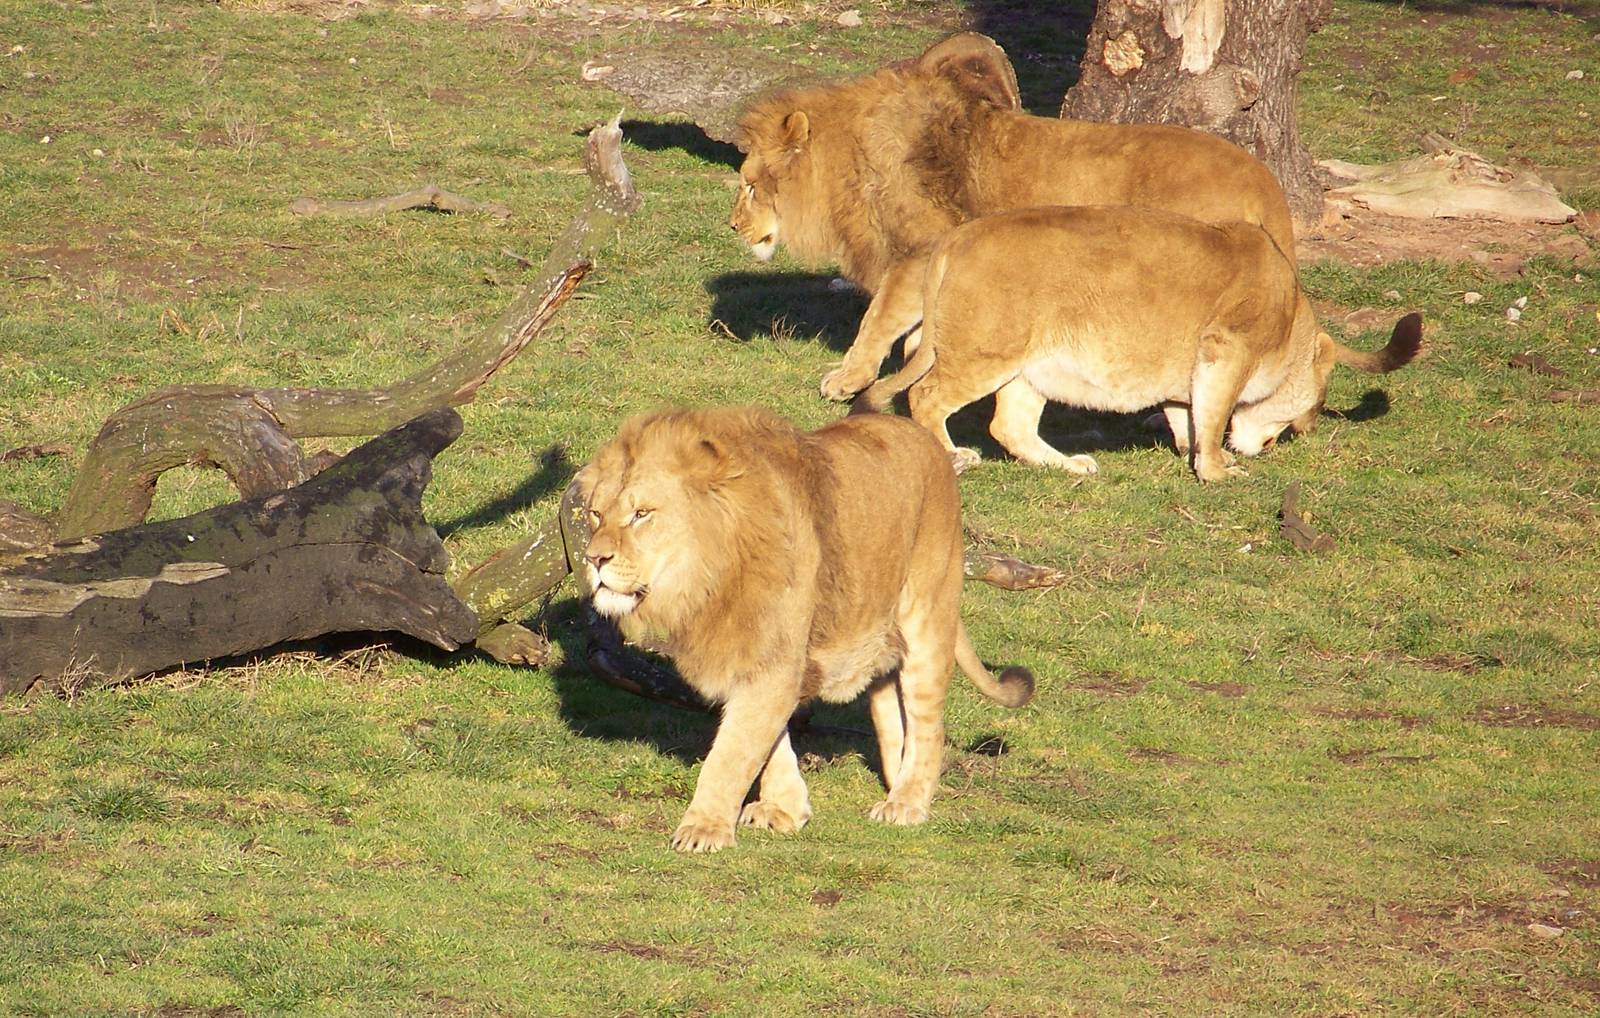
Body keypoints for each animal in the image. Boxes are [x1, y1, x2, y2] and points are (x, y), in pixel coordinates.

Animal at [576, 405, 1034, 853]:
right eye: (596, 514)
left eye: (641, 514)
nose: (594, 559)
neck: (709, 582)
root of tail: (923, 437)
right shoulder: (748, 654)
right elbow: (768, 741)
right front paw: (784, 809)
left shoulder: (775, 655)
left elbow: (733, 751)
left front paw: (704, 828)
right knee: (888, 703)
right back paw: (893, 779)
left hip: (928, 613)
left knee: (929, 723)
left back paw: (907, 802)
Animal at [729, 31, 1298, 401]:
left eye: (751, 186)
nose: (734, 226)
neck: (849, 164)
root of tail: (1264, 181)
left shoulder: (923, 249)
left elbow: (879, 319)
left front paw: (848, 379)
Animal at [852, 205, 1424, 482]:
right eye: (1315, 406)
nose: (1287, 440)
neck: (1291, 321)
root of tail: (957, 237)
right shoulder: (1226, 349)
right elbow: (1215, 414)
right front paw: (1219, 471)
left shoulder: (1191, 370)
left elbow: (1190, 414)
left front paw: (1196, 454)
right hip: (988, 352)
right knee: (925, 396)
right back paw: (954, 457)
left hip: (1029, 367)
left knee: (1008, 426)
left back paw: (1071, 466)